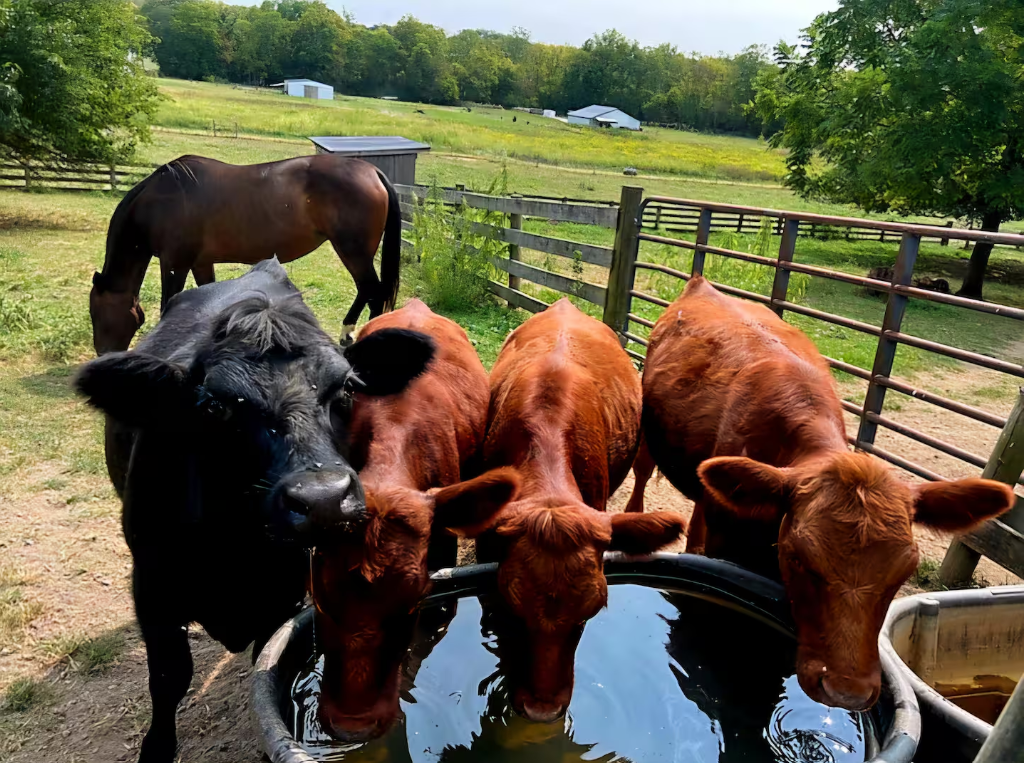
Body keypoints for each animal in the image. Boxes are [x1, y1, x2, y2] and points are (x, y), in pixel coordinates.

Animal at [74, 259, 434, 763]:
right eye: (214, 406)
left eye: (346, 388)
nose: (323, 498)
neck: (233, 549)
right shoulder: (151, 585)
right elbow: (168, 676)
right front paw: (157, 747)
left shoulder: (282, 590)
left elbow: (269, 665)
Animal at [89, 154, 403, 355]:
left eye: (97, 314)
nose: (104, 353)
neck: (160, 202)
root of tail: (372, 172)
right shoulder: (201, 263)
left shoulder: (174, 263)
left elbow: (169, 304)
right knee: (368, 290)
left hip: (352, 251)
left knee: (372, 292)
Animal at [627, 276, 1016, 711]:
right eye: (800, 558)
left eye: (905, 571)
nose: (847, 691)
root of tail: (700, 284)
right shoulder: (725, 545)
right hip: (648, 435)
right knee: (641, 478)